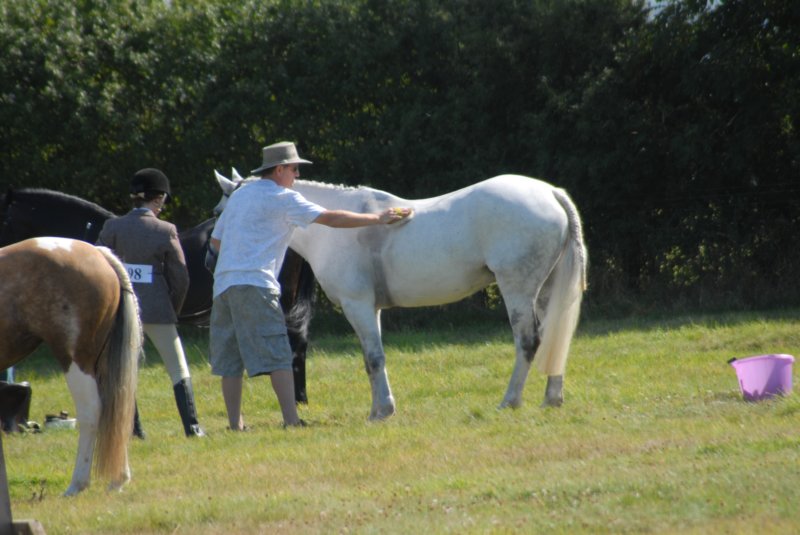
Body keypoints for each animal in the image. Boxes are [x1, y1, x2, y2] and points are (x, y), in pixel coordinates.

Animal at [214, 170, 588, 420]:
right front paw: (383, 407)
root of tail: (550, 192)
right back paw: (552, 398)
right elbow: (374, 358)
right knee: (555, 337)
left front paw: (380, 412)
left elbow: (373, 358)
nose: (211, 251)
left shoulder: (358, 306)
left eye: (219, 211)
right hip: (545, 290)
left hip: (517, 289)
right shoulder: (372, 309)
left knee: (528, 342)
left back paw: (510, 400)